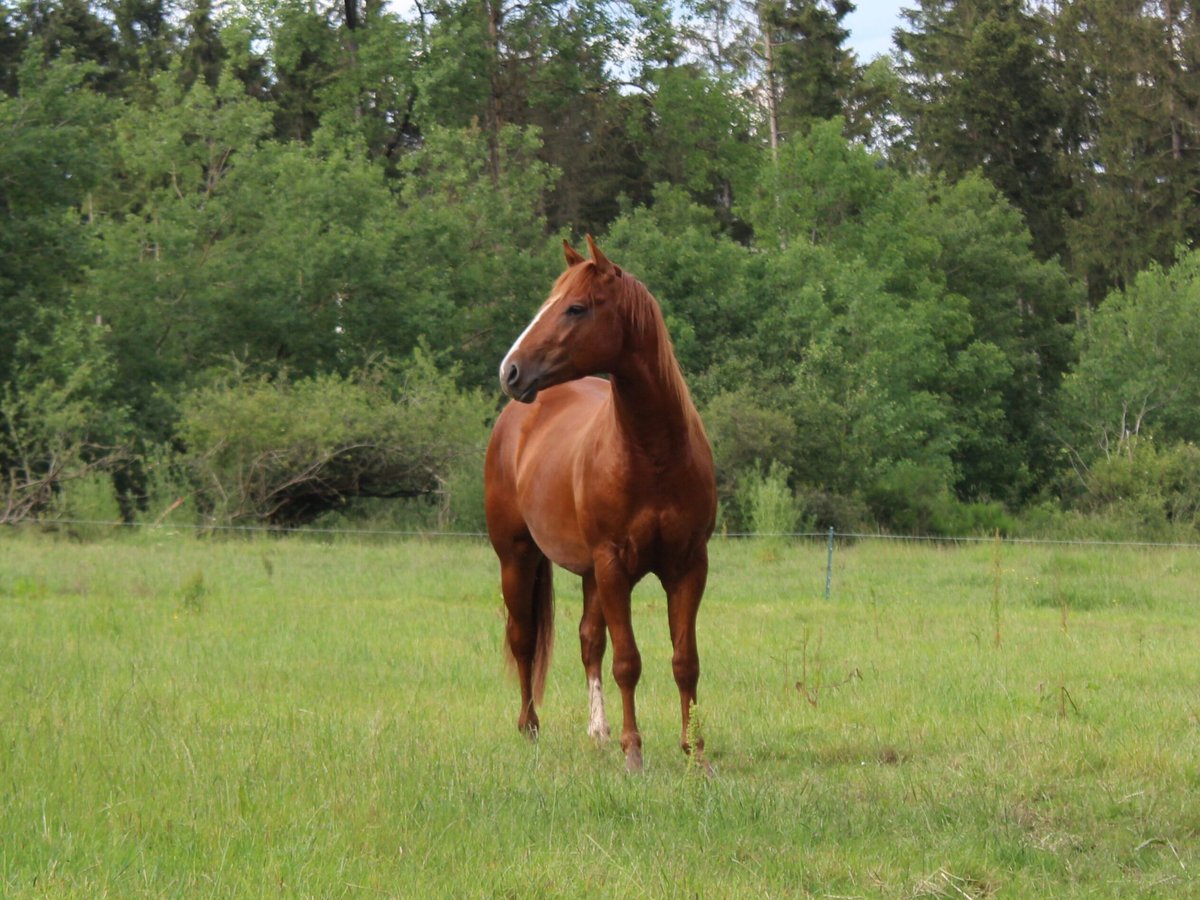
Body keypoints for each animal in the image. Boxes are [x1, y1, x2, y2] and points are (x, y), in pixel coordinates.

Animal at [484, 240, 715, 777]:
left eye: (576, 307)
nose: (510, 371)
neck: (654, 454)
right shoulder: (614, 566)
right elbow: (628, 661)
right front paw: (634, 753)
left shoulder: (688, 567)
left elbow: (684, 661)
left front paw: (695, 753)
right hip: (517, 557)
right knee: (523, 639)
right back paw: (530, 728)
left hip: (589, 573)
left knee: (589, 640)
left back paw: (598, 732)